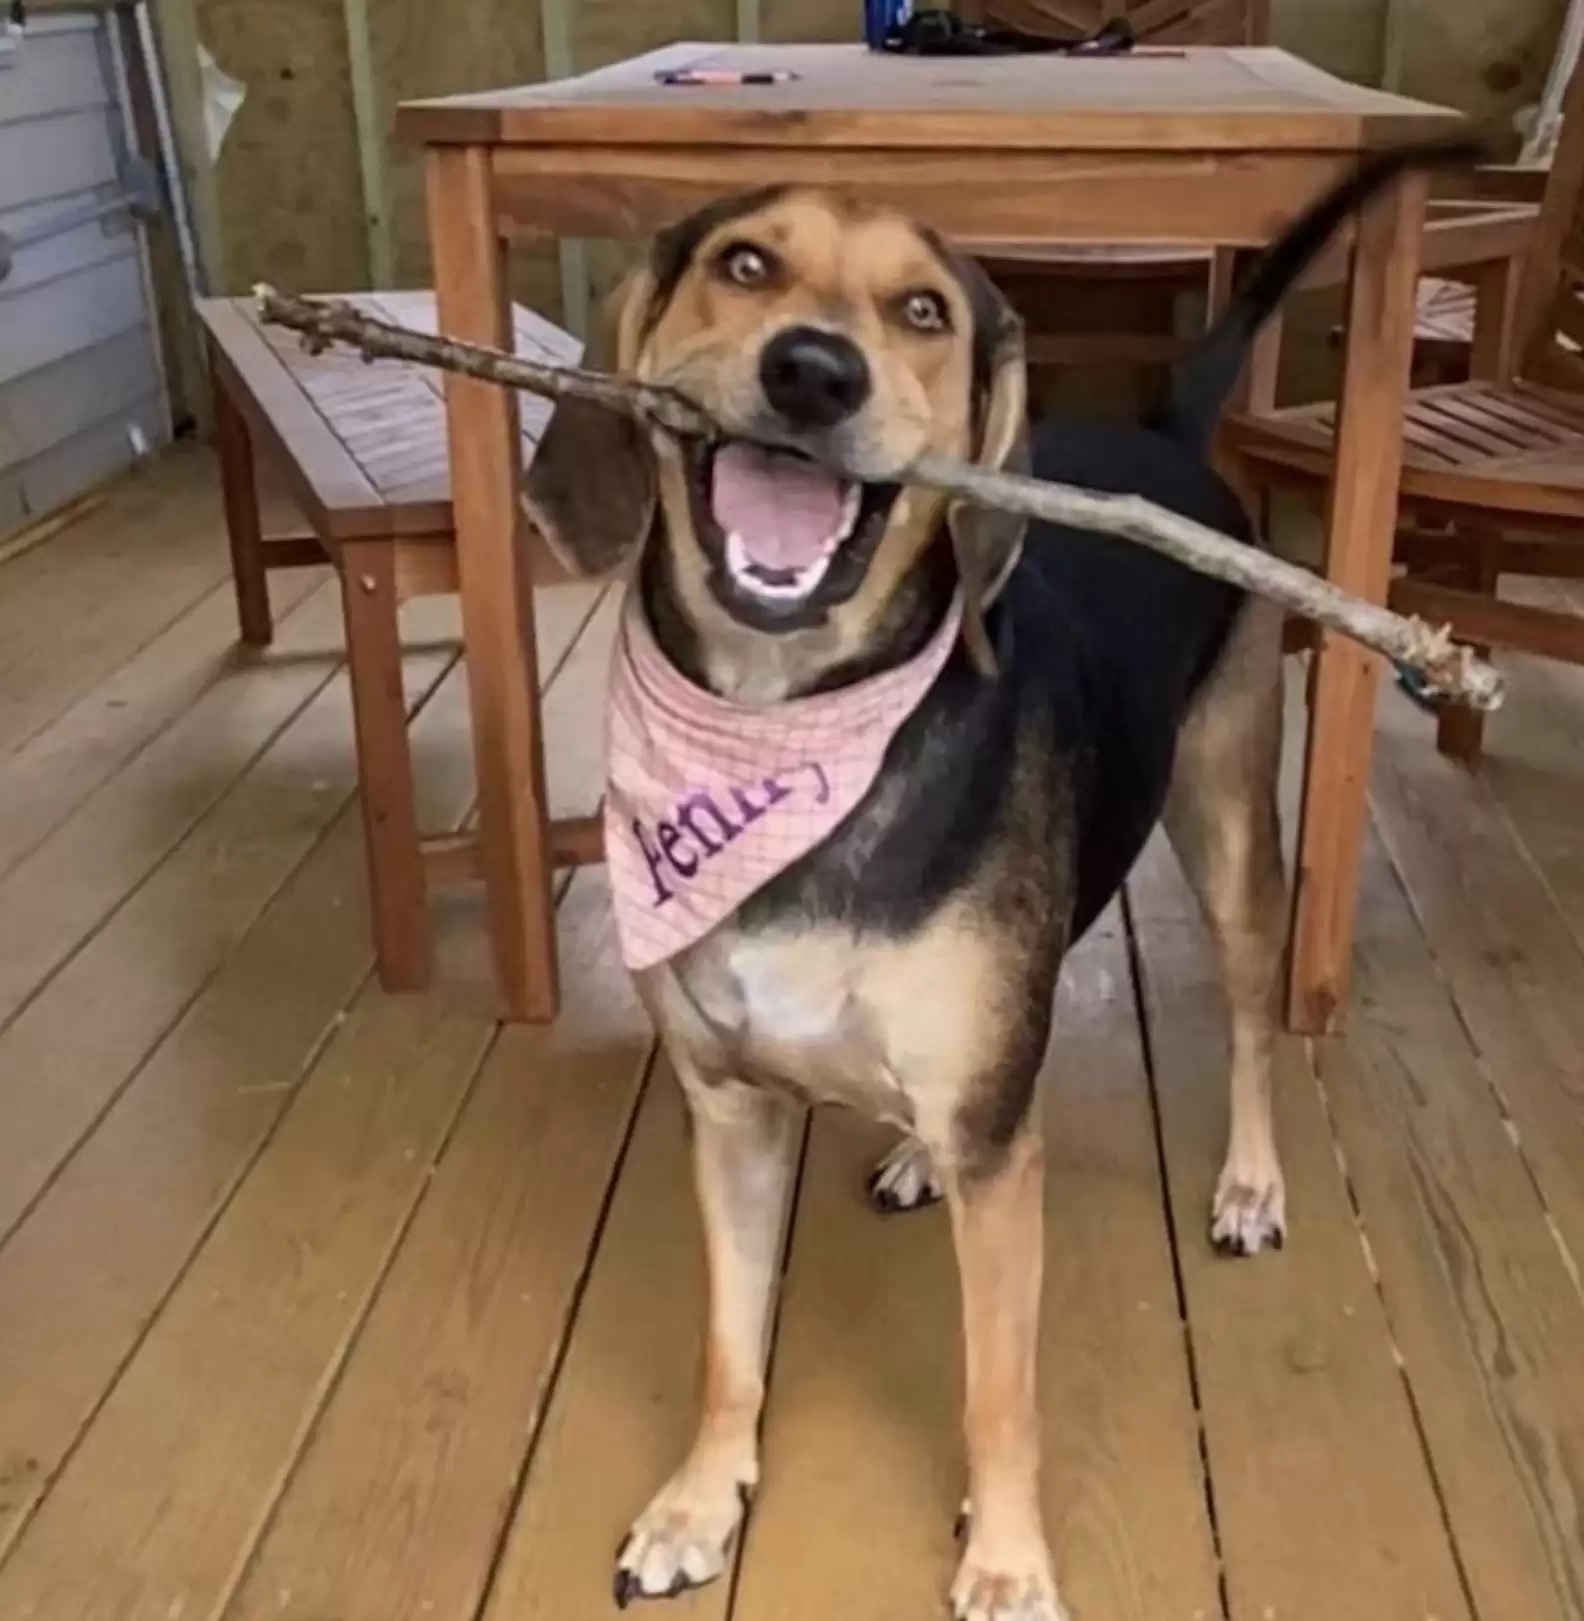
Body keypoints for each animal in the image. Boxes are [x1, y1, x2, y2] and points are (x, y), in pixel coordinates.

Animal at [518, 142, 1472, 1621]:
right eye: (746, 263)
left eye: (923, 311)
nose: (813, 372)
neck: (786, 718)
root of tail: (1158, 438)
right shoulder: (730, 1112)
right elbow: (730, 1345)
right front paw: (698, 1500)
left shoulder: (1002, 1166)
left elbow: (999, 1393)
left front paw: (1009, 1557)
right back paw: (917, 1151)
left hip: (1227, 832)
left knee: (1250, 1025)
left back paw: (1249, 1183)